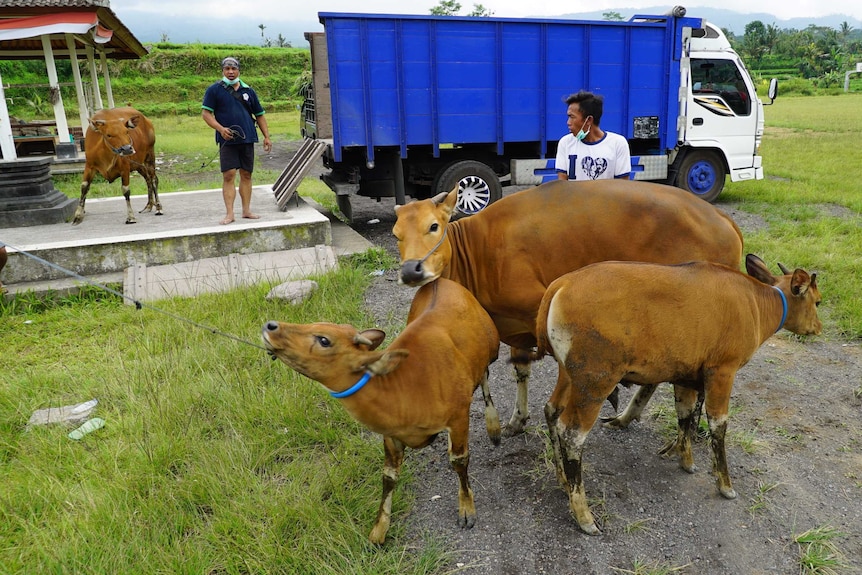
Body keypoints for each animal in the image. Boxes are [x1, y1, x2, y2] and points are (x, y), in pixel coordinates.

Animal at [266, 280, 502, 544]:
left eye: (324, 340)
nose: (271, 325)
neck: (408, 390)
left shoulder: (458, 415)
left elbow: (460, 460)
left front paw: (466, 510)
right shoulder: (391, 435)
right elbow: (389, 476)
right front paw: (378, 532)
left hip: (492, 349)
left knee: (485, 377)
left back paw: (494, 428)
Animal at [394, 180, 744, 436]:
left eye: (434, 226)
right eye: (396, 235)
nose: (411, 270)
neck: (479, 251)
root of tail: (723, 219)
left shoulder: (541, 311)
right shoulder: (516, 327)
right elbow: (521, 368)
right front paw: (517, 419)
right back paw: (627, 417)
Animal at [536, 255, 828, 536]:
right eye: (818, 301)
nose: (818, 327)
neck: (755, 302)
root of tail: (561, 284)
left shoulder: (685, 376)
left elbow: (685, 414)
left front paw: (685, 459)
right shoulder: (722, 372)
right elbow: (718, 426)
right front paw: (724, 484)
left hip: (569, 375)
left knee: (552, 411)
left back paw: (563, 479)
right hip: (595, 382)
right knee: (572, 435)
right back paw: (583, 515)